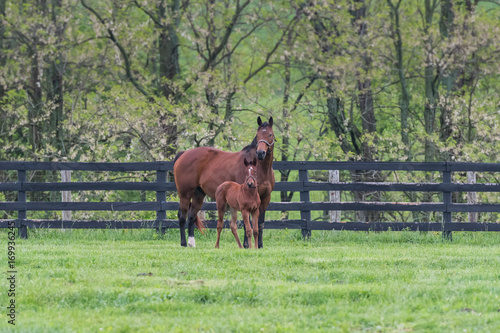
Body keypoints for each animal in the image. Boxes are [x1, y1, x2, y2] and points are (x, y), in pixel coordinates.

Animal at [174, 116, 276, 246]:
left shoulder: (265, 198)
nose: (260, 153)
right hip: (185, 194)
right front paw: (246, 245)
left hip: (198, 194)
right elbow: (246, 223)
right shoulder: (245, 199)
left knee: (191, 216)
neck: (258, 168)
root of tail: (183, 154)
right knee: (182, 216)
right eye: (258, 135)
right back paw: (183, 243)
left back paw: (192, 243)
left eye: (270, 134)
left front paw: (260, 245)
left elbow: (260, 224)